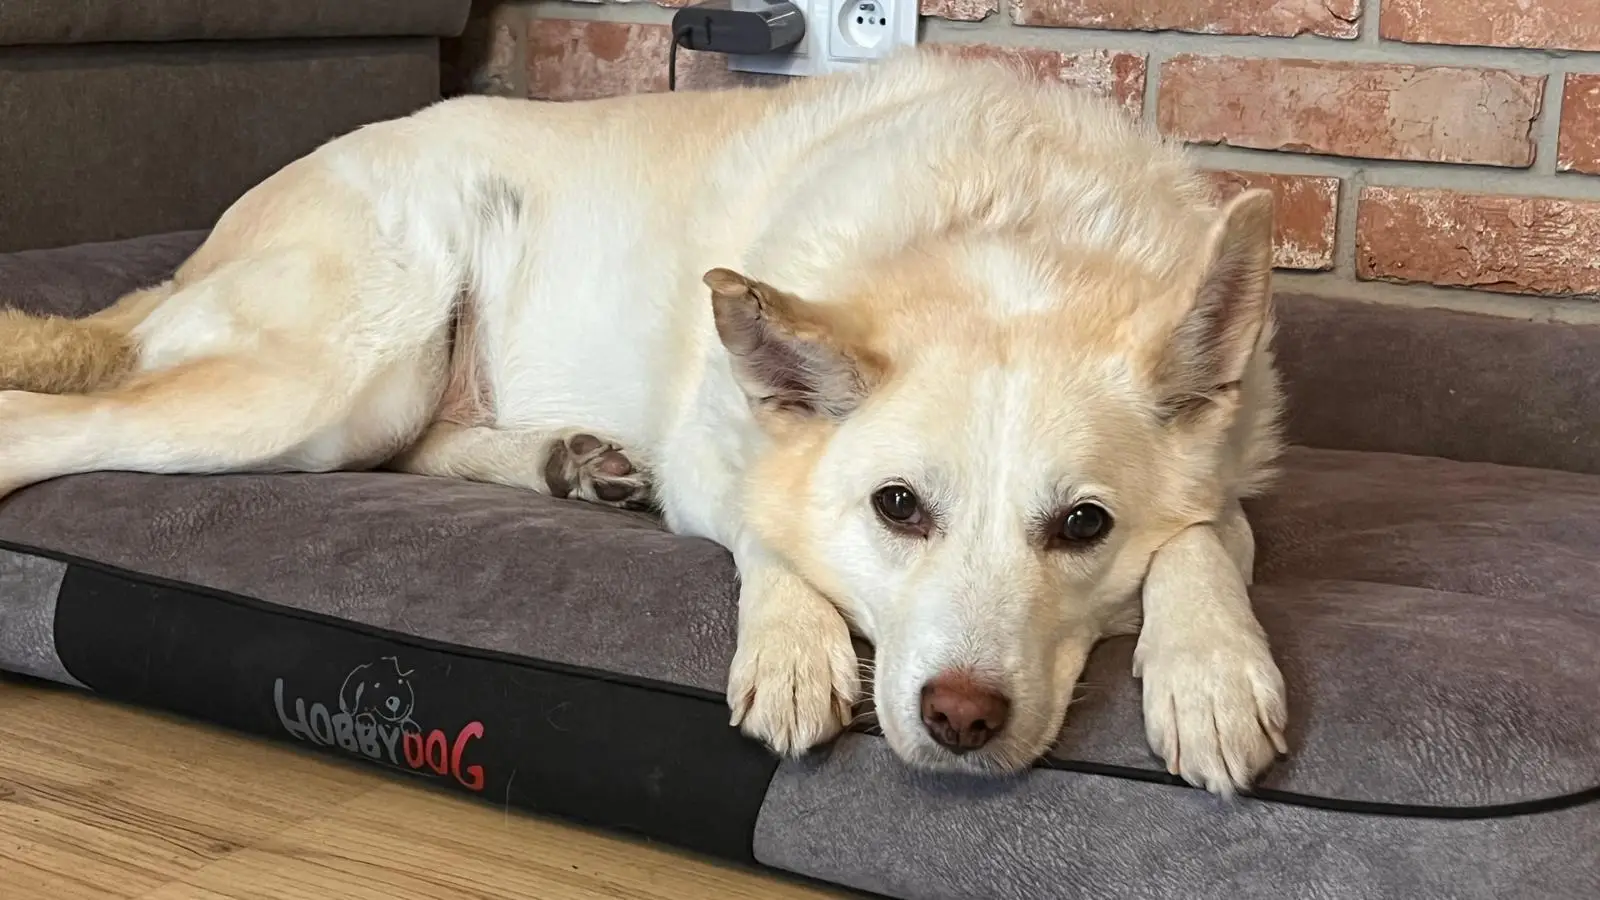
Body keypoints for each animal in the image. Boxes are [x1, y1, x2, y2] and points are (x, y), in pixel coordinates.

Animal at [0, 47, 1288, 794]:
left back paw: (568, 459)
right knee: (45, 424)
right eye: (897, 508)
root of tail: (194, 253)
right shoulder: (714, 470)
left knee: (426, 446)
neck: (1008, 230)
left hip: (388, 397)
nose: (961, 719)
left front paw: (1211, 674)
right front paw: (791, 645)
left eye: (1082, 528)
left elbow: (1203, 548)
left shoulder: (1228, 488)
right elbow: (769, 531)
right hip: (337, 383)